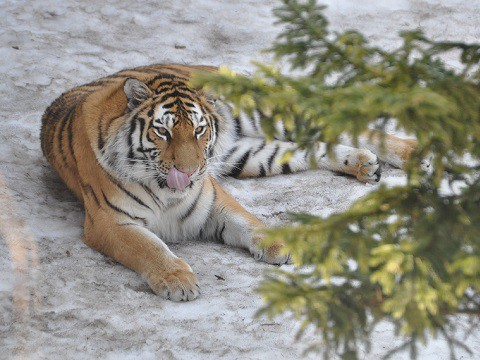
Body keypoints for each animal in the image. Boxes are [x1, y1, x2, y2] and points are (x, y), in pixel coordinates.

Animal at [40, 64, 416, 300]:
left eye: (198, 130)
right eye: (163, 132)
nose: (190, 171)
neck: (166, 191)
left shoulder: (211, 199)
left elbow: (247, 221)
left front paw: (281, 245)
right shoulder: (109, 221)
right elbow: (149, 247)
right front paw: (178, 280)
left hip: (268, 112)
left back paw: (411, 153)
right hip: (251, 156)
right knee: (309, 148)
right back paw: (365, 164)